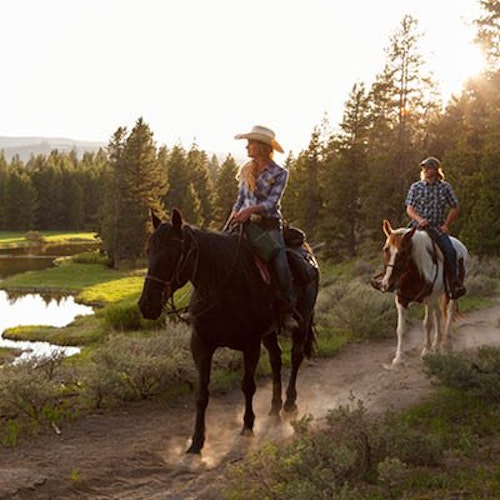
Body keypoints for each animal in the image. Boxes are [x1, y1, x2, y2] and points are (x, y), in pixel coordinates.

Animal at [138, 209, 316, 456]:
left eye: (173, 252)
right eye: (149, 251)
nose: (147, 305)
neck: (221, 287)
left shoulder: (250, 344)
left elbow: (247, 386)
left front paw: (248, 428)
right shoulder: (201, 345)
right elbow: (202, 394)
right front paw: (196, 442)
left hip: (303, 320)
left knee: (296, 357)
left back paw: (289, 405)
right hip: (269, 334)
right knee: (276, 360)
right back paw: (274, 410)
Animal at [372, 221, 468, 366]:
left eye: (403, 252)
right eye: (385, 249)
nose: (388, 284)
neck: (413, 274)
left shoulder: (429, 299)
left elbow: (427, 324)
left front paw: (425, 352)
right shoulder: (401, 300)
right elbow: (401, 328)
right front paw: (398, 358)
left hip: (451, 293)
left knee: (449, 312)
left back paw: (446, 344)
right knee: (438, 314)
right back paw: (436, 344)